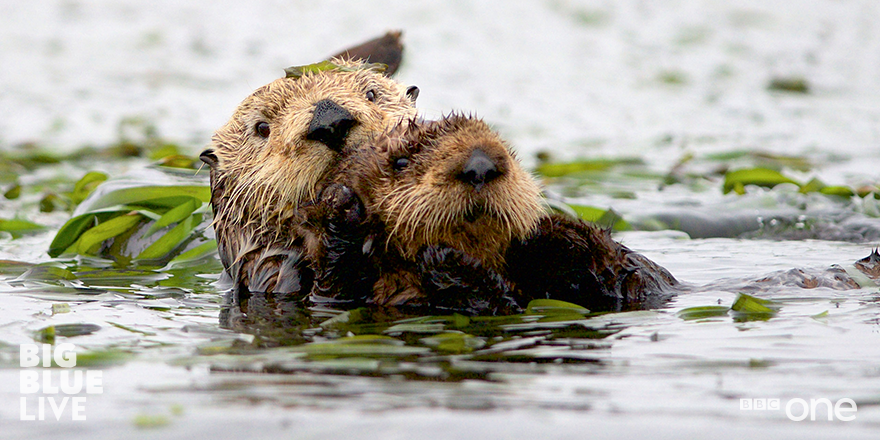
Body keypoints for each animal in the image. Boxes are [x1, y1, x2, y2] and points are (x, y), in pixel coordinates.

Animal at [305, 114, 677, 314]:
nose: (480, 164)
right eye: (400, 161)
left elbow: (637, 276)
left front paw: (559, 235)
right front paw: (341, 209)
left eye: (508, 150)